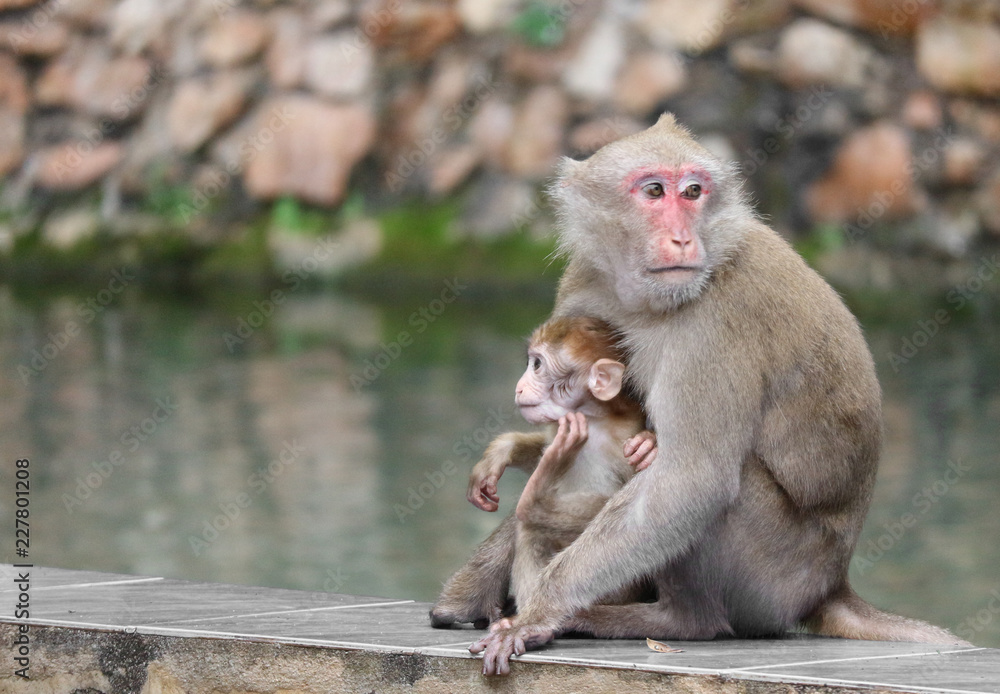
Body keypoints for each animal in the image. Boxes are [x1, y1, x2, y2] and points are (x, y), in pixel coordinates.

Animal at [470, 115, 968, 680]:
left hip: (774, 578)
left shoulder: (714, 325)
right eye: (654, 191)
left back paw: (678, 621)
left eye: (693, 191)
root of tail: (831, 583)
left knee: (713, 488)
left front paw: (539, 612)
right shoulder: (583, 281)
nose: (683, 237)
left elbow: (691, 481)